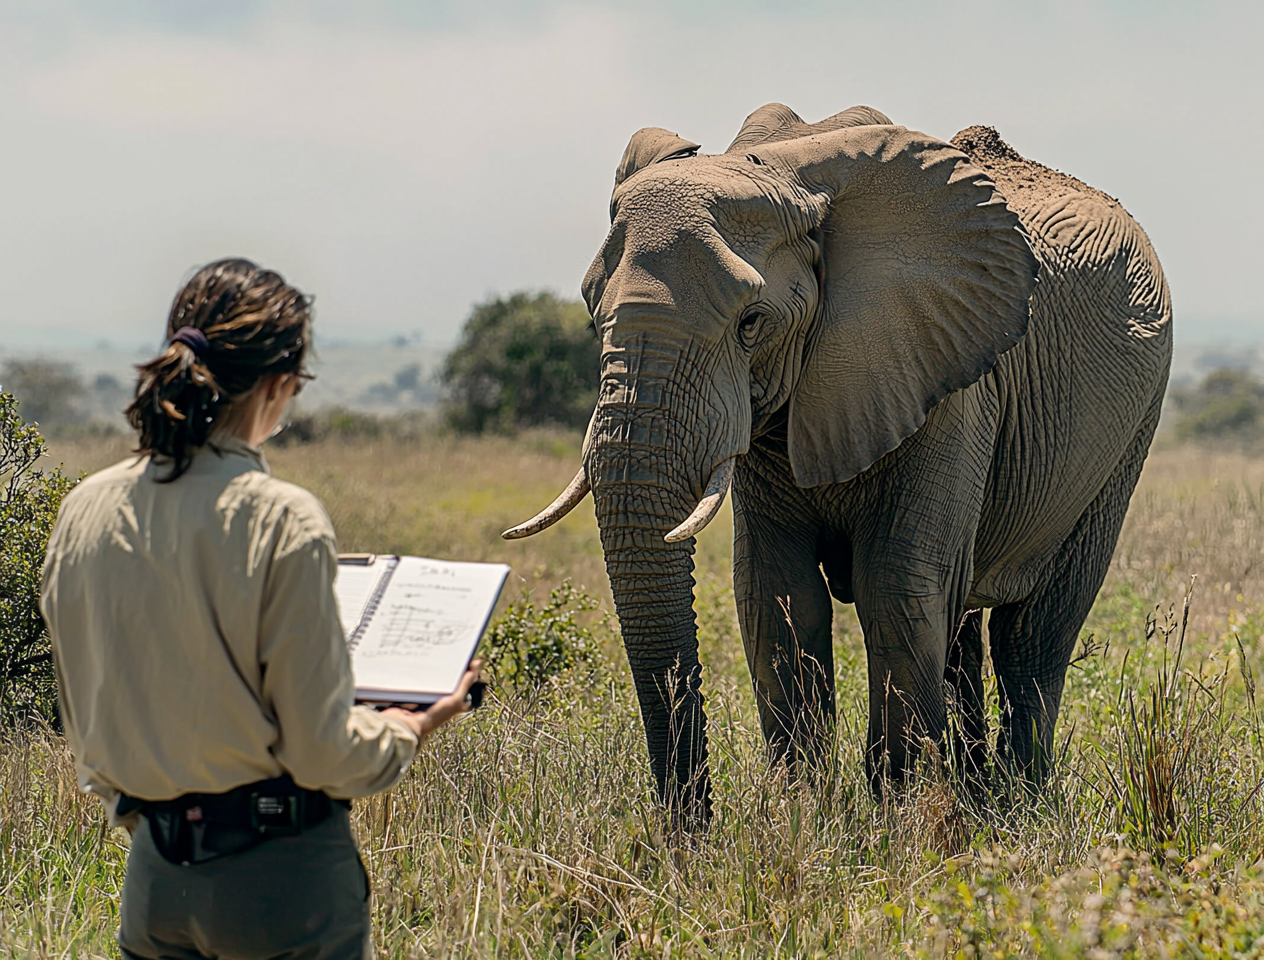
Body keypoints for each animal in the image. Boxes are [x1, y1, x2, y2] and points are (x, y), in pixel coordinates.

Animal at [504, 102, 1172, 825]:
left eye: (752, 323)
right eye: (591, 315)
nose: (691, 833)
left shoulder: (950, 381)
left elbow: (896, 586)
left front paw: (900, 819)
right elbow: (774, 591)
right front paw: (801, 815)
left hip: (1131, 427)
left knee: (1034, 631)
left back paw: (1017, 805)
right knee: (962, 624)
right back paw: (976, 796)